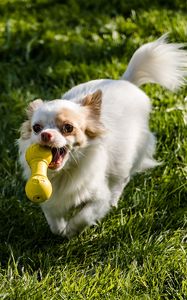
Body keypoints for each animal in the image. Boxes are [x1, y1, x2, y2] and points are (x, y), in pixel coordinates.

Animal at [17, 34, 187, 237]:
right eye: (36, 128)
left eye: (68, 127)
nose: (45, 135)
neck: (65, 173)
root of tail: (126, 81)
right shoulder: (51, 200)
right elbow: (54, 222)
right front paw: (61, 230)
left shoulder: (98, 197)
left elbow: (84, 216)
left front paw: (71, 231)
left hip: (129, 158)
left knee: (121, 180)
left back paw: (114, 201)